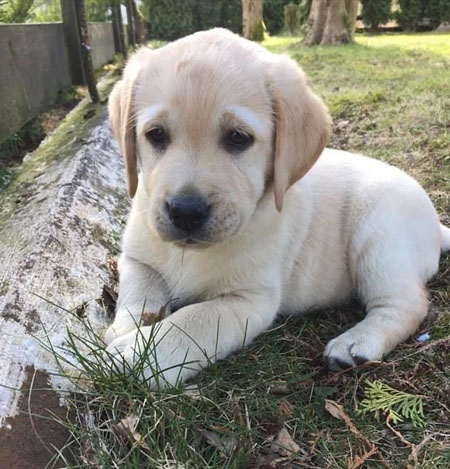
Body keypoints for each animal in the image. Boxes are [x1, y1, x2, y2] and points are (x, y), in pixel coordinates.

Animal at [103, 29, 450, 386]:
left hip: (380, 234)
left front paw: (135, 356)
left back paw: (357, 343)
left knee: (407, 305)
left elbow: (192, 321)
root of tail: (436, 226)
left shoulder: (249, 300)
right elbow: (139, 293)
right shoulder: (137, 260)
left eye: (238, 138)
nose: (186, 211)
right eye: (156, 135)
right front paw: (127, 328)